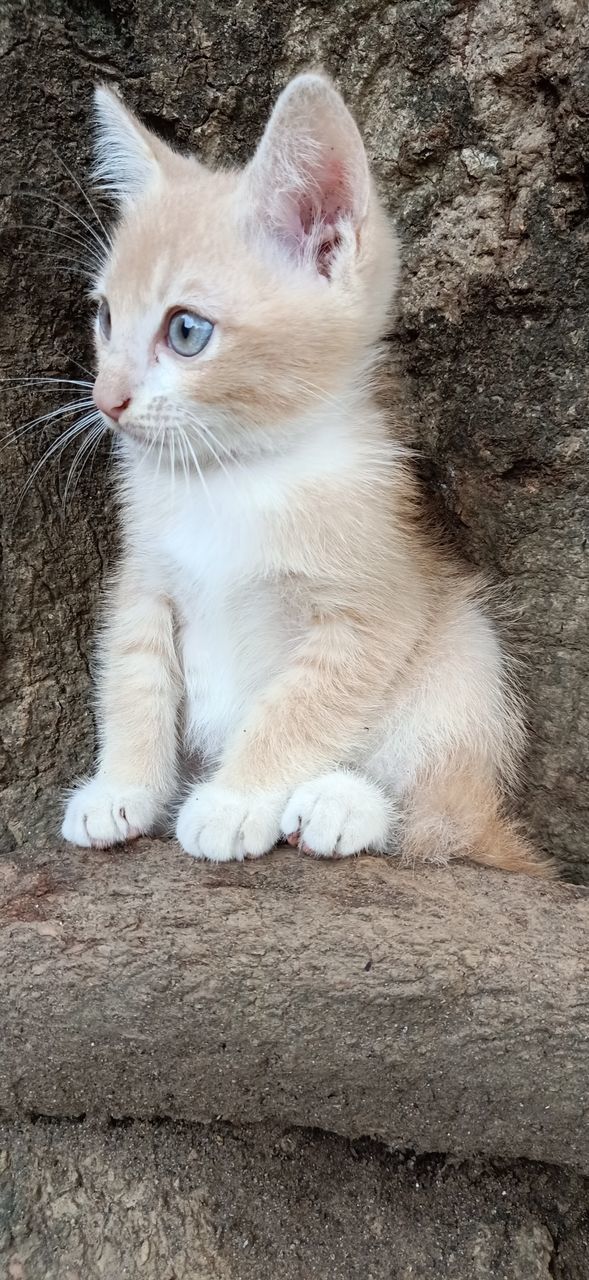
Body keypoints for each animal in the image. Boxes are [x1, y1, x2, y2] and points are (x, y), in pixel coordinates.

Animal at [62, 67, 550, 870]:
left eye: (186, 331)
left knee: (447, 818)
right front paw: (121, 787)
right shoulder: (144, 581)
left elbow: (297, 708)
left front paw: (233, 800)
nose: (106, 400)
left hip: (462, 644)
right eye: (104, 318)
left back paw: (344, 804)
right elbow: (133, 678)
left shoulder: (371, 608)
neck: (231, 474)